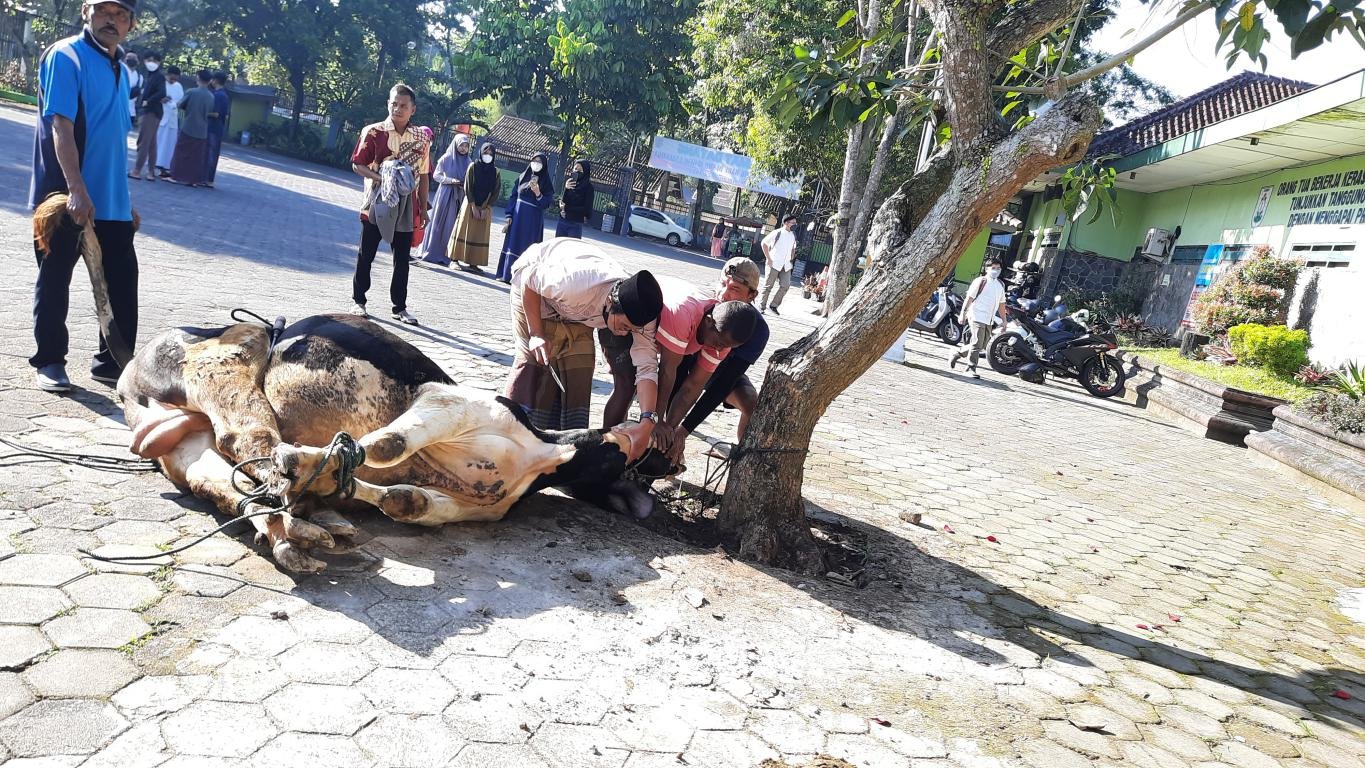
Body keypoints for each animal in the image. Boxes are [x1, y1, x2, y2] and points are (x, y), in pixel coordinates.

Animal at [117, 313, 655, 572]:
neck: (542, 455)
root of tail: (128, 372)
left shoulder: (455, 504)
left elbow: (403, 499)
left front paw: (329, 481)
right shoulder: (447, 401)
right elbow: (386, 446)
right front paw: (313, 465)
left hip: (187, 445)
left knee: (221, 483)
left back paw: (300, 527)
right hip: (225, 365)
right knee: (249, 438)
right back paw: (298, 500)